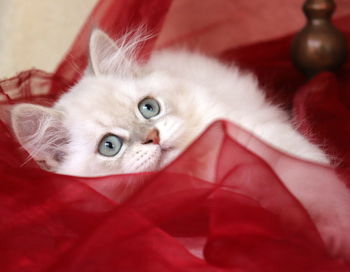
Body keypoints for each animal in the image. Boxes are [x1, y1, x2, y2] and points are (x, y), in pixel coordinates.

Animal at [9, 28, 350, 260]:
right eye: (110, 146)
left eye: (148, 108)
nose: (153, 137)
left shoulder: (266, 138)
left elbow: (314, 186)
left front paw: (334, 235)